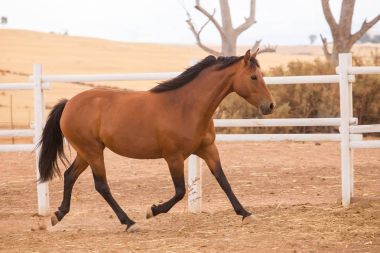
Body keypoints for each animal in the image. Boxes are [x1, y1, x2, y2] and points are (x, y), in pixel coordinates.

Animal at [38, 49, 274, 231]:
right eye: (254, 77)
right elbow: (180, 191)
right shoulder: (174, 157)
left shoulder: (208, 149)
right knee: (101, 186)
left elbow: (224, 181)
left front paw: (246, 213)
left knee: (69, 176)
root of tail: (69, 103)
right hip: (93, 151)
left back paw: (57, 215)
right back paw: (130, 223)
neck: (186, 106)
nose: (269, 106)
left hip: (86, 152)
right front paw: (152, 210)